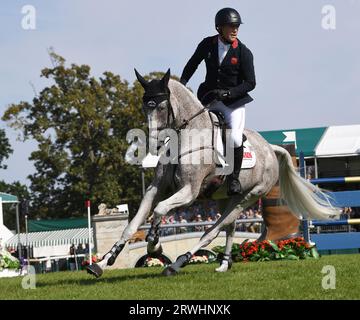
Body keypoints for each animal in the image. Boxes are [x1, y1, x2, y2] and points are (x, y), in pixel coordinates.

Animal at [86, 70, 338, 278]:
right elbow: (132, 225)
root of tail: (270, 148)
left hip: (249, 197)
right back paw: (224, 264)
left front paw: (154, 245)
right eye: (144, 106)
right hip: (224, 198)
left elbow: (159, 211)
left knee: (212, 231)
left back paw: (178, 263)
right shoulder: (155, 189)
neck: (185, 138)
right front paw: (102, 262)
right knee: (230, 227)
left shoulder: (189, 192)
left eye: (160, 106)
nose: (154, 144)